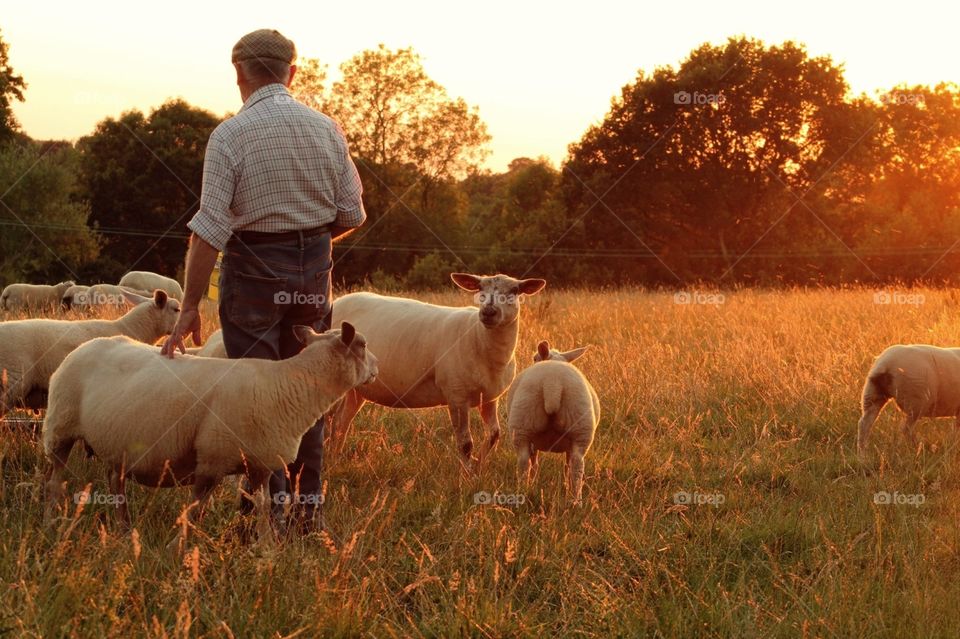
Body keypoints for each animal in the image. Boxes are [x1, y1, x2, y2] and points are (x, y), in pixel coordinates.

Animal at [43, 322, 378, 544]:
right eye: (362, 344)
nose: (377, 368)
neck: (287, 387)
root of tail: (84, 346)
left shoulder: (259, 464)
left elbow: (262, 507)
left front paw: (266, 547)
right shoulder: (211, 461)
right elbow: (194, 511)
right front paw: (178, 547)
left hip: (117, 445)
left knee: (115, 483)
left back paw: (124, 531)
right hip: (59, 428)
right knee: (53, 478)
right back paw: (50, 516)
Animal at [330, 272, 544, 472]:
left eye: (515, 291)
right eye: (480, 289)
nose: (489, 312)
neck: (478, 337)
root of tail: (338, 301)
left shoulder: (490, 397)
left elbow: (494, 435)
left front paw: (478, 468)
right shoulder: (457, 395)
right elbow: (465, 444)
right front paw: (467, 476)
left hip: (357, 390)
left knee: (341, 423)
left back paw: (336, 458)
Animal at [506, 340, 596, 504]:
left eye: (534, 358)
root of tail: (553, 383)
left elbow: (535, 464)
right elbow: (566, 467)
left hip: (521, 426)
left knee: (524, 463)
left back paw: (523, 491)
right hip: (580, 428)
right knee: (577, 466)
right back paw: (575, 501)